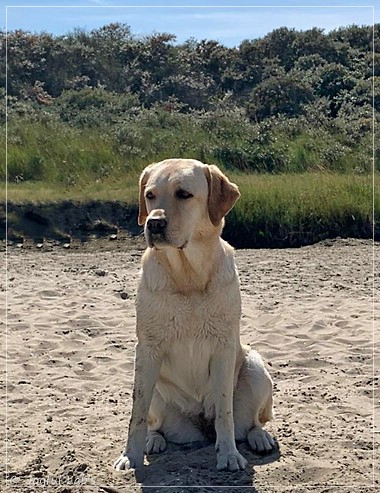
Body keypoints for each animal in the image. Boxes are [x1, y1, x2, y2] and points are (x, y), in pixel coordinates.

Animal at [114, 160, 274, 470]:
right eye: (150, 195)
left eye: (184, 194)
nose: (154, 223)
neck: (187, 276)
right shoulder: (147, 349)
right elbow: (136, 413)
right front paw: (130, 456)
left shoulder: (224, 347)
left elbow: (225, 412)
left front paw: (228, 455)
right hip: (151, 383)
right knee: (154, 421)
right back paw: (154, 440)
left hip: (256, 367)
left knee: (251, 422)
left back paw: (259, 437)